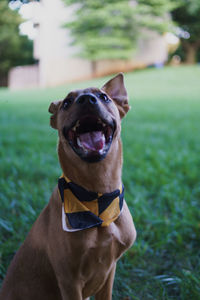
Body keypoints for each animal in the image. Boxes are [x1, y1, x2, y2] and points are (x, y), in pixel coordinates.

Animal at [0, 73, 136, 300]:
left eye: (104, 97)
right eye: (66, 102)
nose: (87, 99)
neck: (98, 197)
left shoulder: (109, 271)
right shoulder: (69, 280)